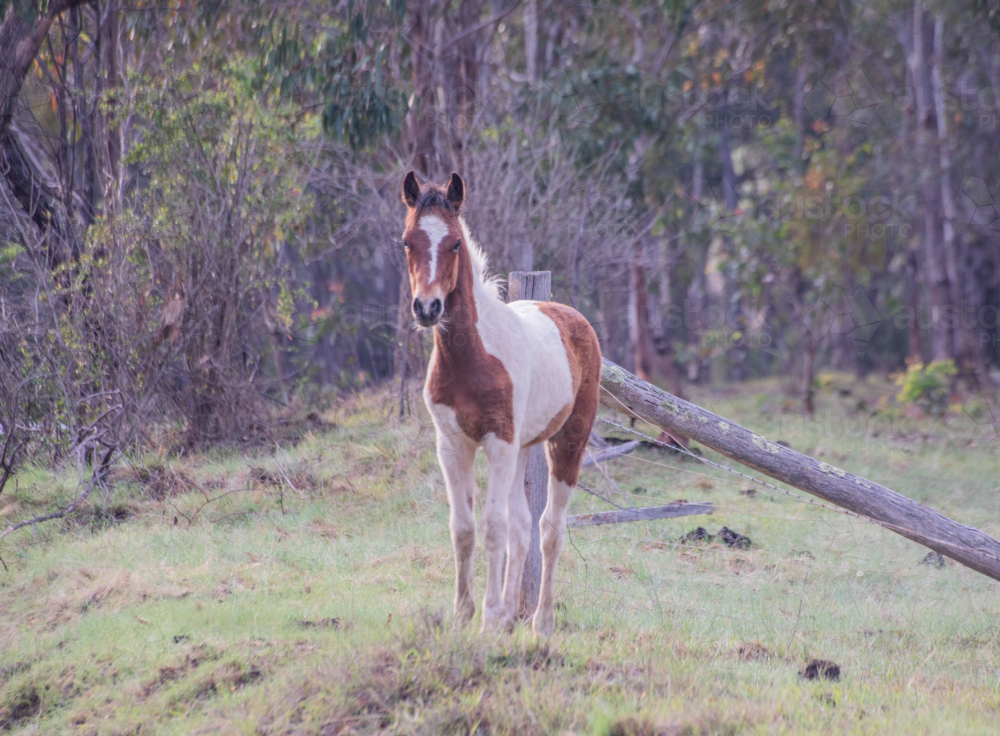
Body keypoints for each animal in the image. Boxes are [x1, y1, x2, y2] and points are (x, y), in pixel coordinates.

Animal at [400, 170, 601, 636]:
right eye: (406, 241)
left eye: (455, 243)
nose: (426, 307)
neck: (473, 356)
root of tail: (573, 316)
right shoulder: (452, 444)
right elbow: (464, 528)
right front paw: (464, 614)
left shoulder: (497, 440)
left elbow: (493, 526)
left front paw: (489, 618)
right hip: (523, 448)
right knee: (523, 527)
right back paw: (513, 617)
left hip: (566, 442)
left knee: (550, 528)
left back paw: (541, 622)